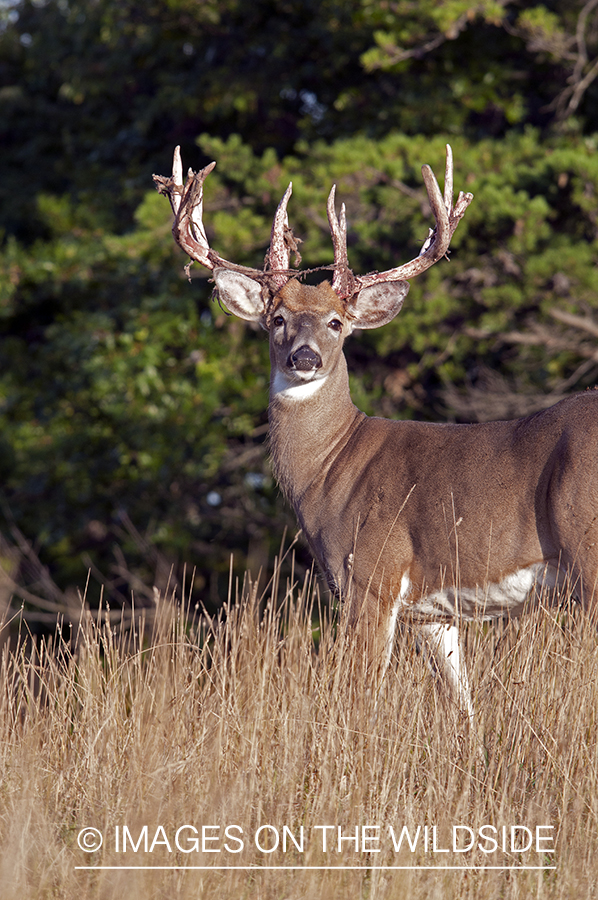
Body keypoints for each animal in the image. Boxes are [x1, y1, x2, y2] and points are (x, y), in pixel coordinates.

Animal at [155, 144, 598, 712]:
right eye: (276, 319)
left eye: (336, 322)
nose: (304, 357)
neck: (331, 469)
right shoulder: (432, 612)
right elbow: (462, 705)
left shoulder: (371, 573)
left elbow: (360, 695)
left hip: (586, 547)